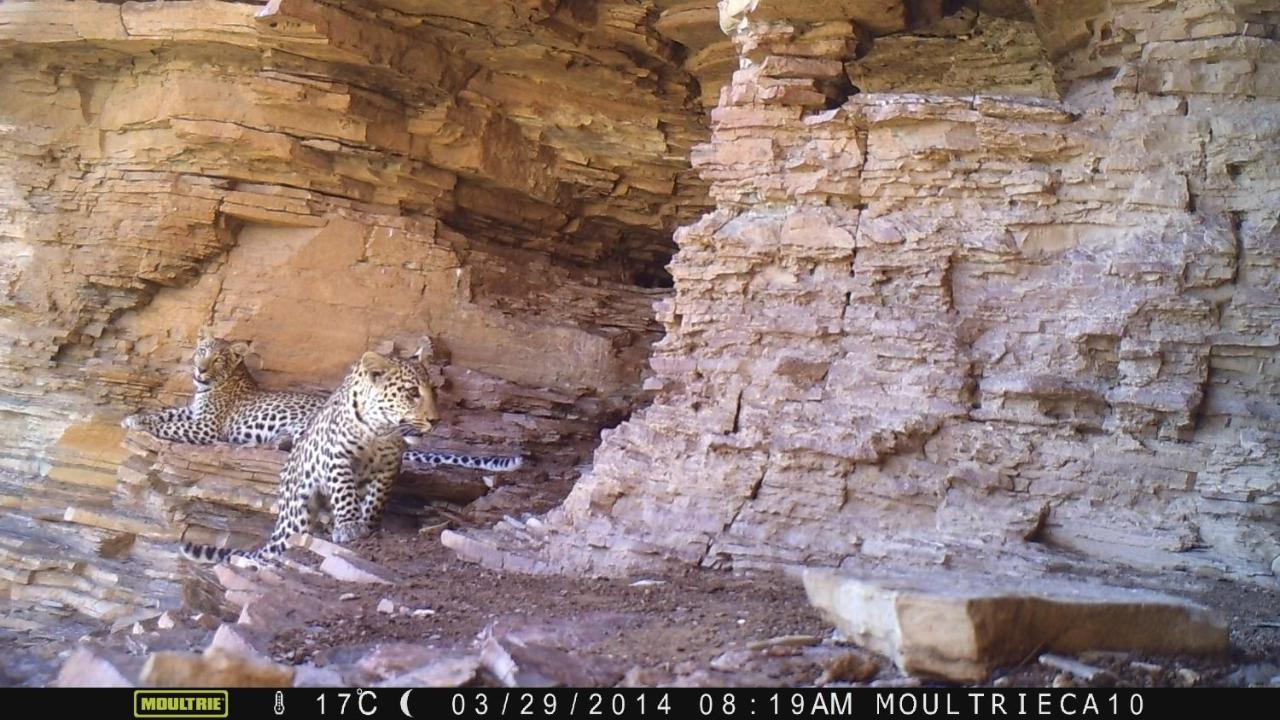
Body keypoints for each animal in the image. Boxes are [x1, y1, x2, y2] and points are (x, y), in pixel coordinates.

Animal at [120, 325, 519, 471]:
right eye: (201, 351)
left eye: (216, 359)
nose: (199, 369)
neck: (213, 386)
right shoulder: (192, 413)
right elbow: (167, 412)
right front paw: (135, 414)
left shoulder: (205, 427)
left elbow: (166, 423)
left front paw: (137, 421)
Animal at [180, 345, 440, 563]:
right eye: (412, 392)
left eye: (434, 390)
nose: (436, 420)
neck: (380, 430)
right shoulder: (337, 455)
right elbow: (345, 492)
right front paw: (349, 525)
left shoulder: (388, 466)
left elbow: (376, 500)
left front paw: (367, 524)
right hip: (297, 513)